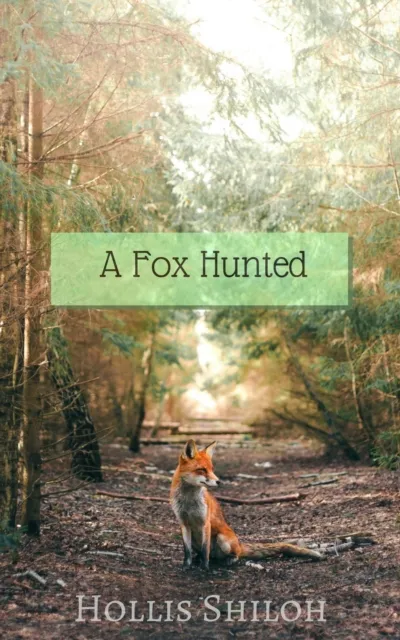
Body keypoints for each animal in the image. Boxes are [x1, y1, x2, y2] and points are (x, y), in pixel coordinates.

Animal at [170, 439, 322, 570]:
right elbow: (187, 551)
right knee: (206, 554)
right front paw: (186, 566)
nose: (219, 481)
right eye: (202, 470)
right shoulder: (184, 523)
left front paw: (204, 568)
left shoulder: (205, 523)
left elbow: (205, 550)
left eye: (212, 469)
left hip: (222, 539)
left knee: (231, 554)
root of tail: (239, 544)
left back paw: (230, 559)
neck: (188, 501)